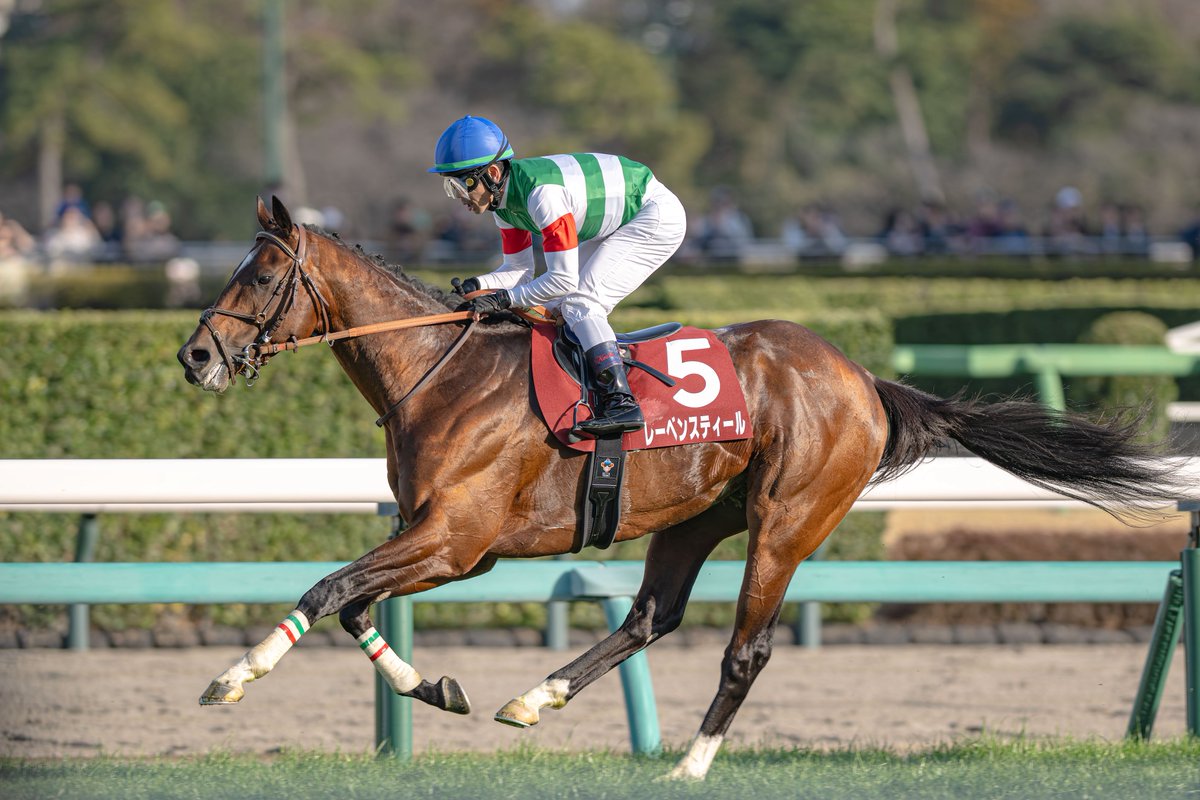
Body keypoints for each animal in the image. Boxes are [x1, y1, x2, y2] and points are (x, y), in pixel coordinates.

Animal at [177, 196, 1180, 780]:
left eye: (260, 273)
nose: (195, 356)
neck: (438, 371)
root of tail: (862, 378)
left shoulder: (458, 541)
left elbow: (326, 589)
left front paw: (232, 677)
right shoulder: (439, 539)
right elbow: (352, 602)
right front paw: (440, 688)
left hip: (787, 518)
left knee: (746, 648)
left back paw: (690, 764)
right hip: (693, 518)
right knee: (649, 618)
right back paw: (533, 698)